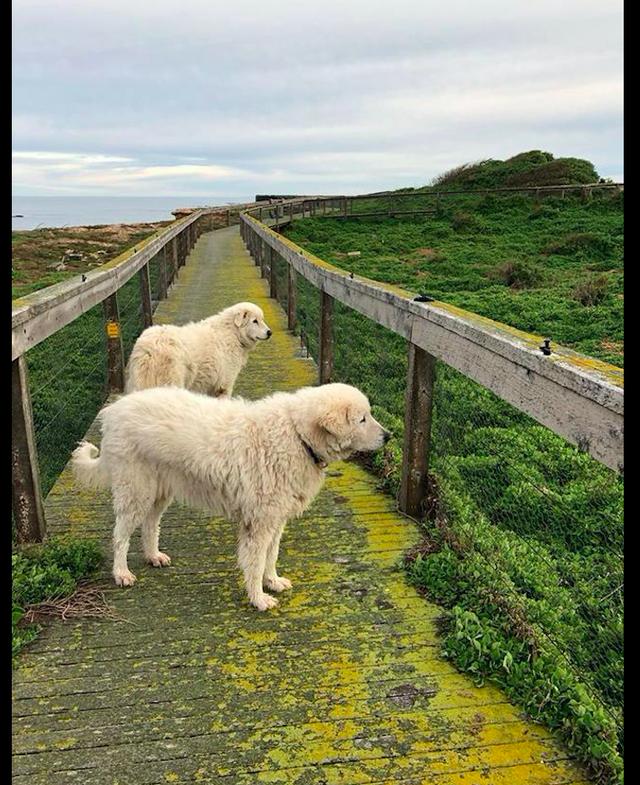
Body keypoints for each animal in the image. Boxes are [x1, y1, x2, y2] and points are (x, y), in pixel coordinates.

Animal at [70, 382, 390, 608]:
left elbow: (271, 556)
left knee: (150, 525)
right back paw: (121, 573)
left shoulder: (275, 520)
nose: (388, 436)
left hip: (159, 491)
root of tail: (114, 411)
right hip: (135, 490)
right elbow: (256, 561)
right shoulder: (259, 522)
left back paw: (153, 556)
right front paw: (258, 598)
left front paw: (272, 582)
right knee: (120, 535)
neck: (297, 437)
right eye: (362, 419)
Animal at [125, 302, 272, 398]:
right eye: (255, 321)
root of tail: (148, 350)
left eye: (262, 319)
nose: (269, 332)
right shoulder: (224, 386)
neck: (233, 333)